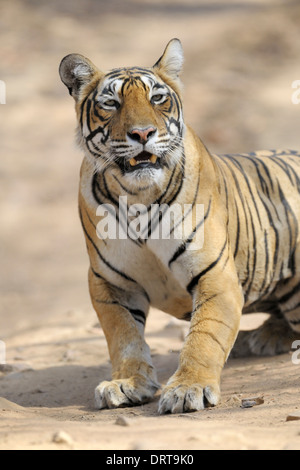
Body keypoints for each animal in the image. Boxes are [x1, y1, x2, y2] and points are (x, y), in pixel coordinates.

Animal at [59, 38, 300, 414]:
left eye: (158, 98)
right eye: (111, 103)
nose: (142, 133)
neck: (138, 197)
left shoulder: (215, 274)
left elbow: (205, 336)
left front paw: (189, 389)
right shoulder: (109, 282)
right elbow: (124, 336)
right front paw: (127, 383)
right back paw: (256, 339)